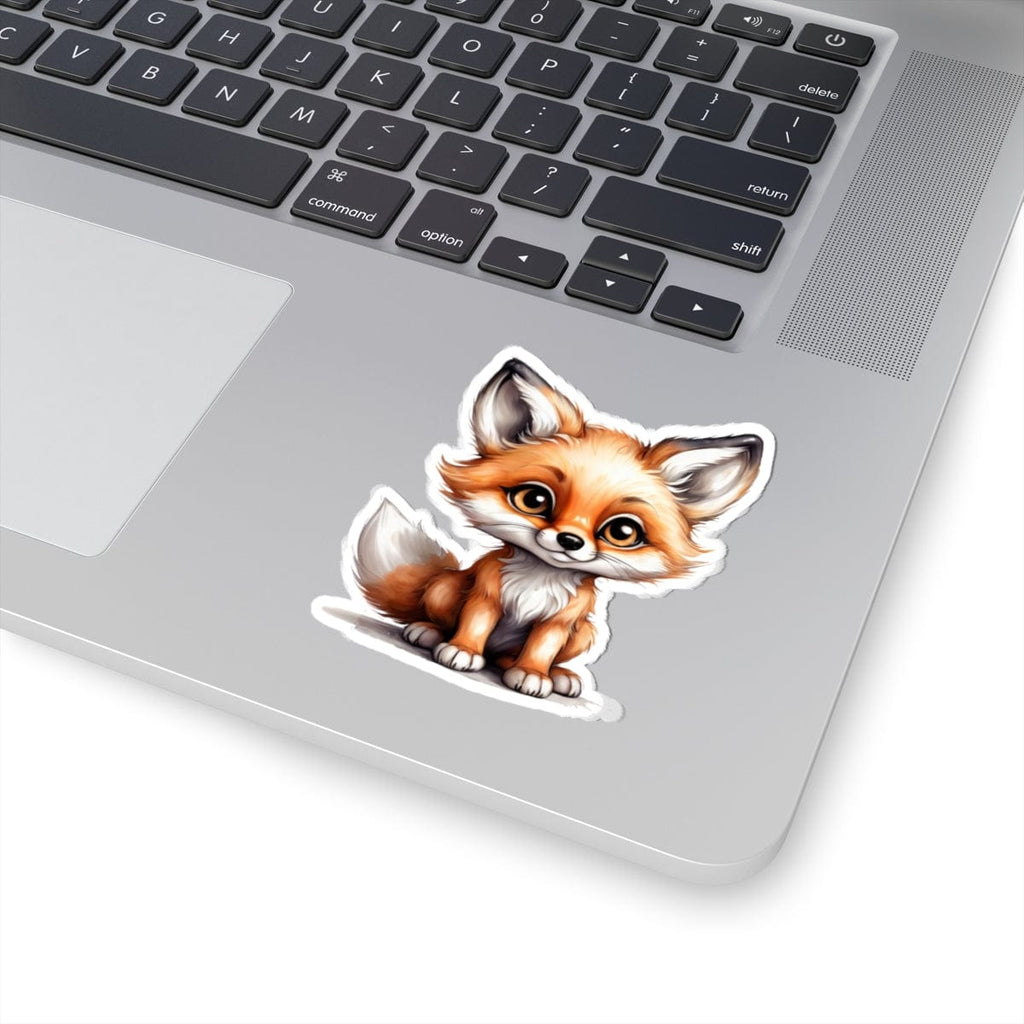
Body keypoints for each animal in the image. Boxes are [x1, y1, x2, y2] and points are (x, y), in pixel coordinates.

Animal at [344, 349, 774, 701]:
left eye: (622, 533)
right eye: (534, 500)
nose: (569, 540)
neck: (540, 579)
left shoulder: (559, 621)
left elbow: (541, 648)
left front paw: (533, 674)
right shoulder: (485, 595)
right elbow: (476, 625)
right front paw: (463, 650)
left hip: (586, 632)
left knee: (518, 657)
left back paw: (554, 675)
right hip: (446, 587)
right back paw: (431, 633)